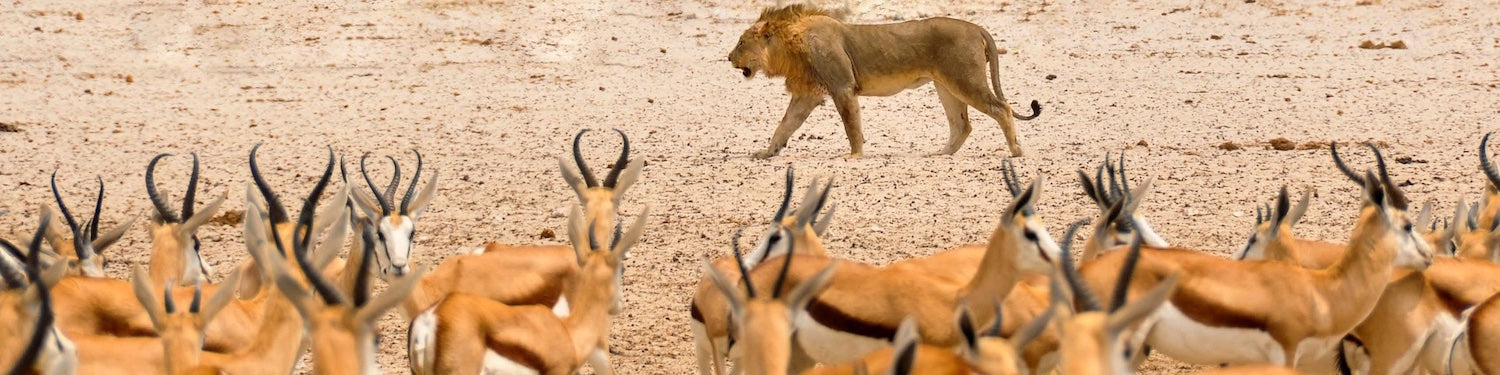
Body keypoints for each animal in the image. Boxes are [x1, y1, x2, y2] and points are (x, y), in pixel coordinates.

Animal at [729, 5, 1044, 158]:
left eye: (741, 42)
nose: (728, 57)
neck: (789, 45)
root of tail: (977, 26)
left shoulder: (842, 87)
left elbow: (851, 125)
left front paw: (855, 155)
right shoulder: (807, 94)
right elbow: (784, 125)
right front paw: (767, 152)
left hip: (965, 80)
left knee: (1001, 108)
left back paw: (1016, 151)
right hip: (946, 86)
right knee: (962, 124)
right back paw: (941, 153)